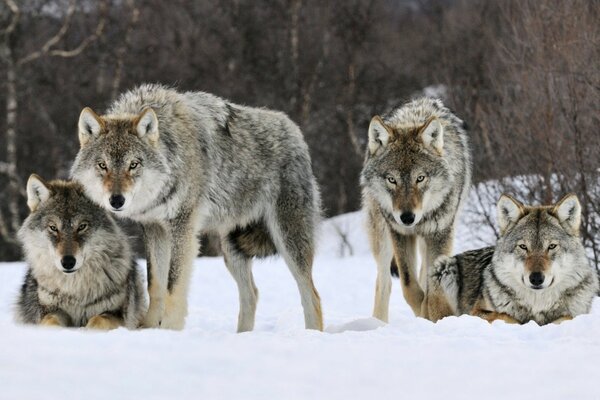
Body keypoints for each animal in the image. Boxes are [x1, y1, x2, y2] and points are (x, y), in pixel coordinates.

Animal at [15, 175, 146, 328]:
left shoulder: (117, 314)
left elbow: (98, 320)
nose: (68, 262)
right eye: (53, 228)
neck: (75, 290)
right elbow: (50, 322)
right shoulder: (50, 310)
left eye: (82, 226)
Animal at [70, 83, 324, 332]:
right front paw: (149, 328)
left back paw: (311, 334)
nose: (116, 200)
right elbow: (155, 284)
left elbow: (173, 285)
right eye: (102, 165)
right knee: (252, 294)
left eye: (133, 165)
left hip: (288, 241)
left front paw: (170, 330)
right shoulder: (154, 228)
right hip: (232, 249)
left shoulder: (182, 227)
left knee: (312, 295)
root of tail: (295, 130)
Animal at [358, 97, 472, 322]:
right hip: (382, 236)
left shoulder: (440, 234)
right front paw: (423, 313)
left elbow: (431, 287)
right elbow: (409, 286)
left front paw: (432, 316)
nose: (407, 217)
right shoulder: (400, 233)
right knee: (384, 282)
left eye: (420, 178)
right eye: (392, 179)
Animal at [426, 194, 600, 324]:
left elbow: (566, 317)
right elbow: (506, 316)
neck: (537, 305)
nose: (536, 278)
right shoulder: (475, 312)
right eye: (523, 247)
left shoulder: (575, 314)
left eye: (551, 246)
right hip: (443, 267)